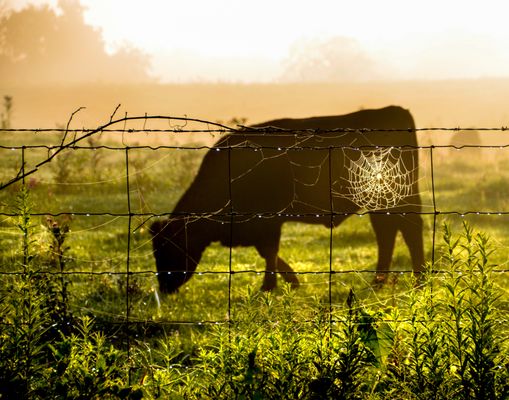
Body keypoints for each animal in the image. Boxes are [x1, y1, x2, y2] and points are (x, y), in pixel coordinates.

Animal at [149, 106, 422, 294]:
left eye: (169, 248)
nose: (164, 286)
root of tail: (394, 110)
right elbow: (269, 253)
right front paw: (291, 280)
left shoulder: (268, 220)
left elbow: (270, 251)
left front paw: (269, 286)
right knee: (388, 233)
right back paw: (382, 281)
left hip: (394, 199)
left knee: (405, 232)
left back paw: (413, 278)